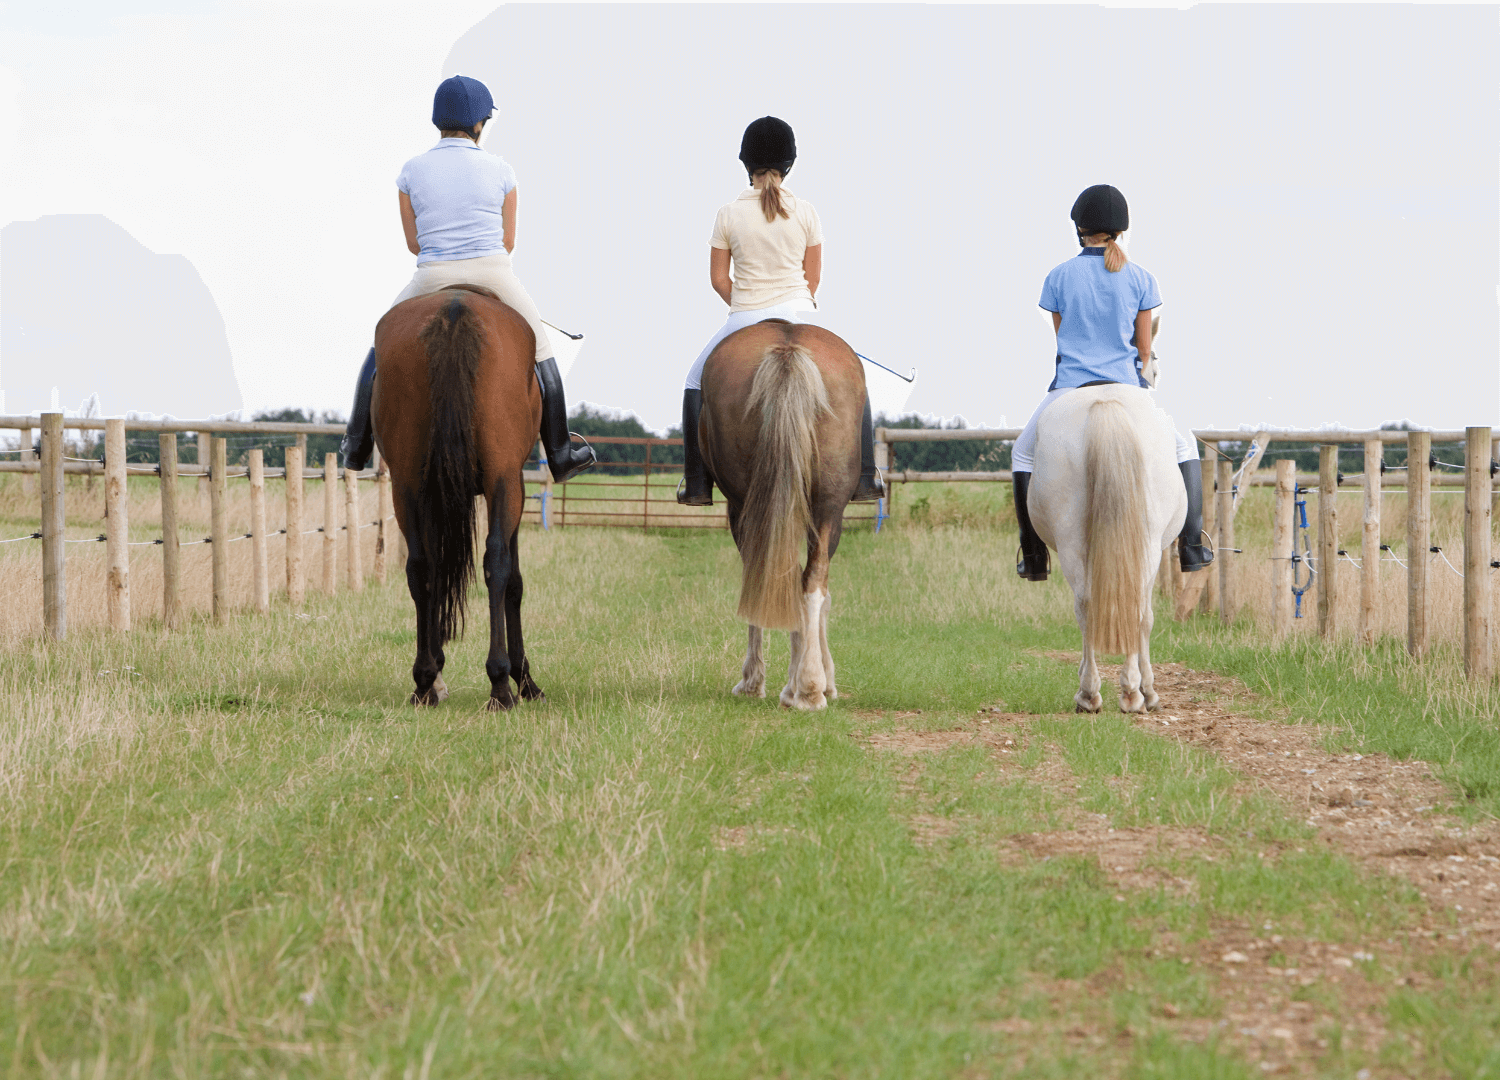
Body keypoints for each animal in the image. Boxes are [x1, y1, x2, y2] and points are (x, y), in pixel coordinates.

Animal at [369, 285, 546, 708]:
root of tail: (455, 307)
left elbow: (433, 571)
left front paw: (435, 673)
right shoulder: (515, 483)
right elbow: (514, 580)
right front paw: (524, 679)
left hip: (407, 484)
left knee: (421, 567)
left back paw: (424, 682)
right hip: (503, 479)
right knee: (496, 562)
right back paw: (500, 684)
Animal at [696, 318, 864, 708]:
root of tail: (788, 347)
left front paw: (757, 681)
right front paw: (819, 680)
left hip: (750, 506)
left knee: (779, 577)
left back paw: (795, 685)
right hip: (828, 506)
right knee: (811, 580)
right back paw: (809, 687)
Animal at [1032, 384, 1182, 714]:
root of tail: (1104, 399)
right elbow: (1146, 619)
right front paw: (1149, 691)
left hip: (1073, 542)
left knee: (1088, 606)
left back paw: (1094, 692)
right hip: (1145, 544)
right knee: (1131, 608)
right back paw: (1126, 693)